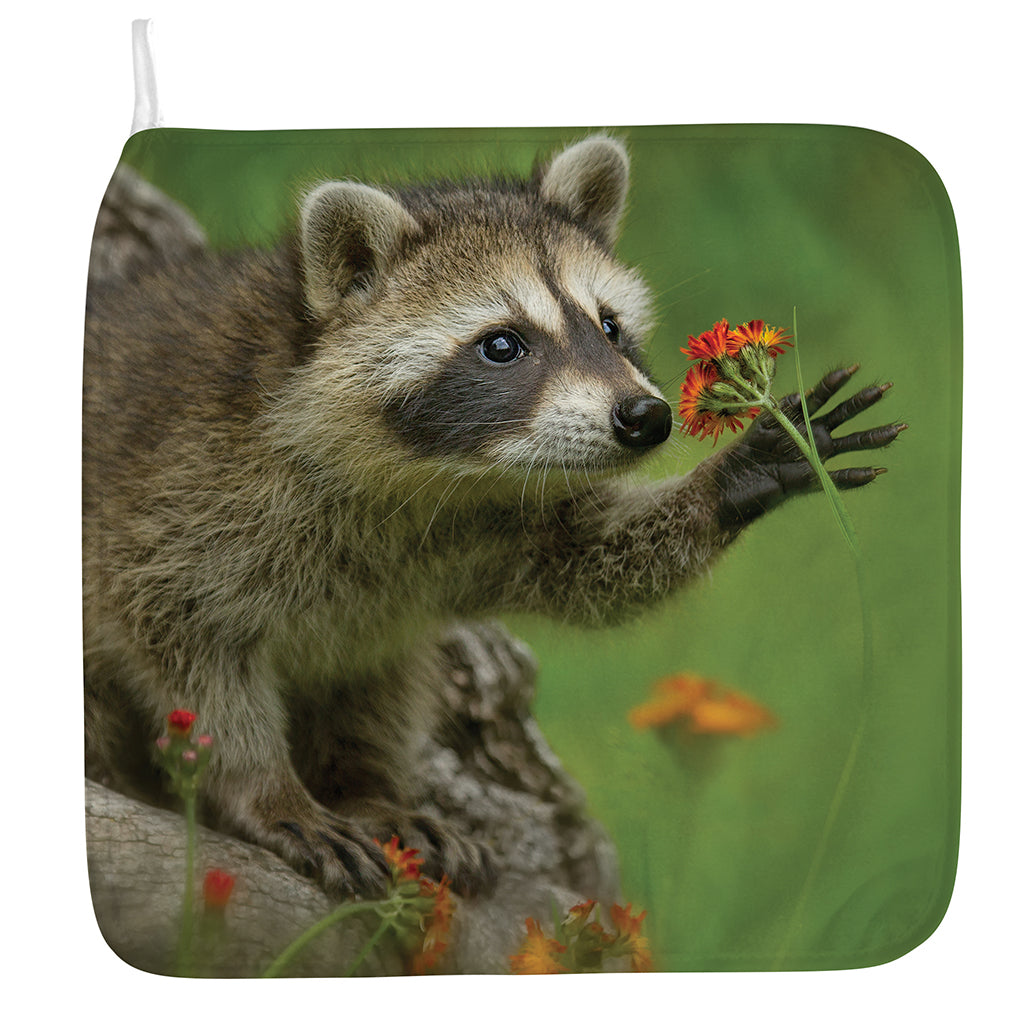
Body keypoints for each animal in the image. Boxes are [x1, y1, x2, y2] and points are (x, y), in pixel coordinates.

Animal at [83, 136, 900, 896]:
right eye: (502, 344)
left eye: (609, 327)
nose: (646, 418)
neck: (427, 478)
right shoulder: (179, 500)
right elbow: (191, 655)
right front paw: (267, 790)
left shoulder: (484, 524)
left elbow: (586, 562)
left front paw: (730, 479)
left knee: (379, 678)